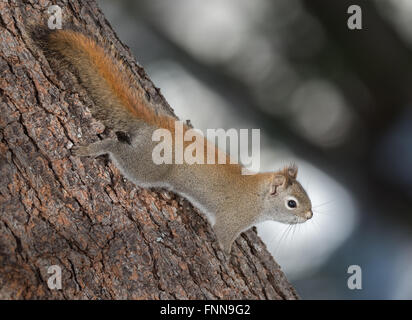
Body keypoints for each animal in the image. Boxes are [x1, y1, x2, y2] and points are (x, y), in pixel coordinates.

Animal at [39, 29, 312, 255]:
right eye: (292, 203)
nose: (309, 216)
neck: (257, 195)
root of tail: (156, 125)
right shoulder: (231, 220)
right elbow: (223, 238)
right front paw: (225, 255)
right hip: (147, 168)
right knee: (116, 148)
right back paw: (92, 149)